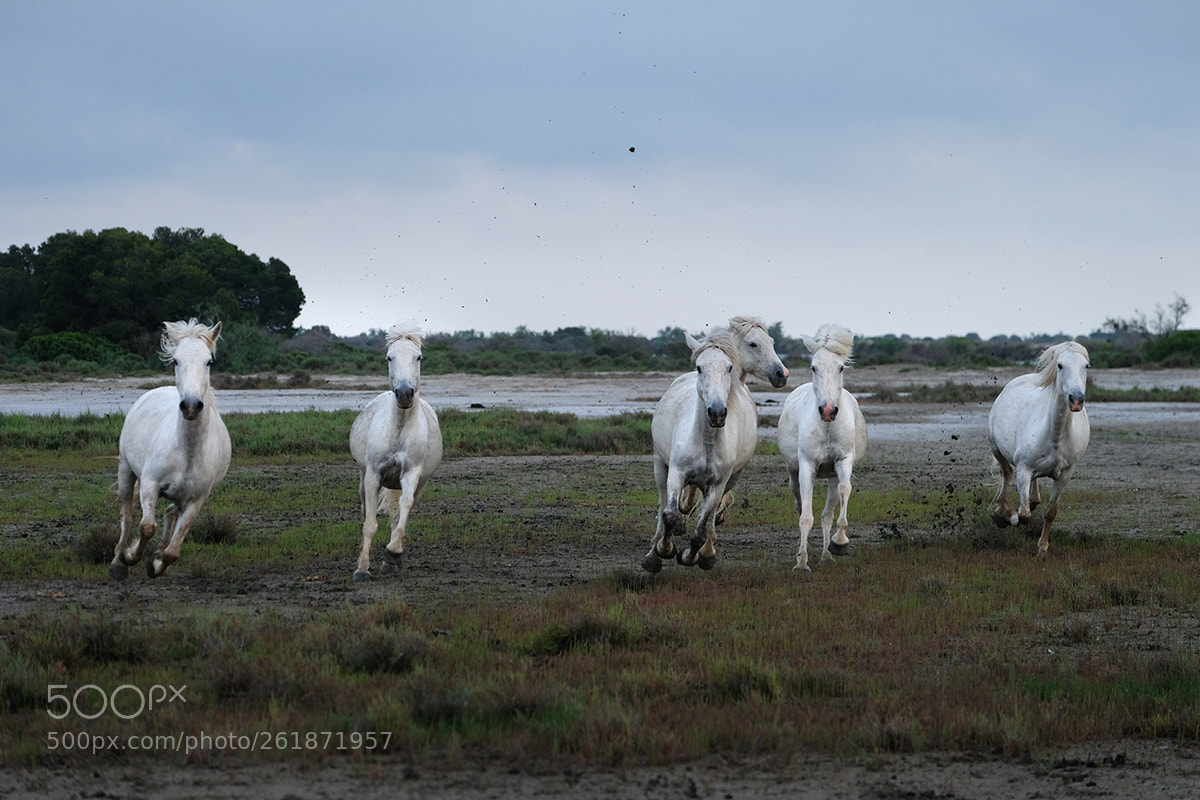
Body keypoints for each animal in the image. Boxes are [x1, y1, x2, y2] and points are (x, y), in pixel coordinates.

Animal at [110, 320, 231, 579]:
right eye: (176, 361)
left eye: (209, 361)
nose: (191, 406)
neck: (188, 450)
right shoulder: (150, 484)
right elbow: (146, 526)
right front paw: (129, 557)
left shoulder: (195, 500)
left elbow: (173, 552)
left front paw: (155, 564)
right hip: (125, 469)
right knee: (127, 515)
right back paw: (117, 561)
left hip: (179, 496)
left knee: (169, 513)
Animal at [349, 324, 443, 581]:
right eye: (389, 357)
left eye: (418, 357)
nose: (404, 393)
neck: (399, 426)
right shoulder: (373, 475)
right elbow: (370, 523)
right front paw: (362, 569)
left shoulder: (411, 474)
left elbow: (403, 510)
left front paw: (392, 554)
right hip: (363, 478)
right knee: (365, 511)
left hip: (417, 484)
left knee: (398, 514)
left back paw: (390, 561)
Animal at [643, 328, 758, 573]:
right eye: (699, 367)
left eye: (729, 367)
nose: (717, 412)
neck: (706, 443)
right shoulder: (676, 474)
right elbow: (670, 515)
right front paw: (664, 550)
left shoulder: (717, 485)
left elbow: (701, 528)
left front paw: (690, 557)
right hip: (660, 466)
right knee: (662, 506)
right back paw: (652, 554)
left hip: (732, 478)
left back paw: (707, 553)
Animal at [777, 324, 867, 571]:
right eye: (813, 367)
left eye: (841, 367)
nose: (827, 410)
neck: (827, 427)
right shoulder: (807, 467)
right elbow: (806, 517)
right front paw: (802, 563)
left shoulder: (843, 462)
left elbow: (844, 492)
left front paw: (839, 543)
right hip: (794, 473)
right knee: (800, 507)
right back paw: (801, 554)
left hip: (831, 476)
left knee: (827, 514)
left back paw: (827, 555)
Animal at [987, 341, 1090, 555]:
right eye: (1060, 365)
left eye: (1086, 366)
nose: (1076, 400)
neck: (1055, 434)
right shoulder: (1024, 469)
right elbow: (1023, 514)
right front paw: (1012, 518)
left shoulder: (1065, 474)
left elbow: (1050, 512)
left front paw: (1042, 547)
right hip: (997, 450)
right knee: (1007, 473)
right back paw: (1002, 513)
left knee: (1033, 492)